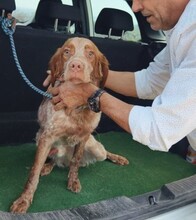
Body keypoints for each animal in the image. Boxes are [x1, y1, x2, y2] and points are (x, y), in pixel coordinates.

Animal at [9, 36, 129, 213]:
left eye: (90, 54)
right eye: (66, 52)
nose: (76, 65)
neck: (76, 109)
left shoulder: (84, 136)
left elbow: (76, 161)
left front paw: (73, 180)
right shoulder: (47, 137)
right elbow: (34, 172)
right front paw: (24, 199)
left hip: (96, 149)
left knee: (102, 153)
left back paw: (118, 158)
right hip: (40, 138)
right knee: (52, 160)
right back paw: (47, 166)